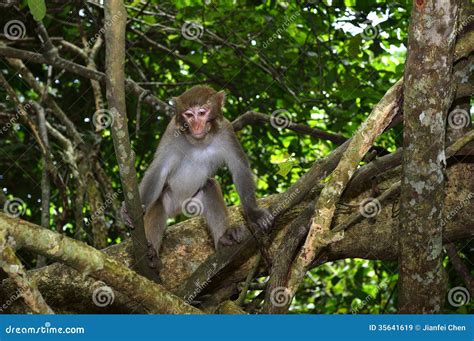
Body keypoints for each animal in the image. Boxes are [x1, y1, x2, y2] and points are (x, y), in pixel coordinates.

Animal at [123, 85, 274, 268]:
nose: (195, 126)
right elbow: (159, 169)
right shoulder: (172, 132)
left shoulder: (226, 131)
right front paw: (130, 211)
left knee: (210, 187)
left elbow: (239, 167)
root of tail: (179, 207)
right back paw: (151, 252)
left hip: (193, 202)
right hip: (170, 199)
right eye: (189, 115)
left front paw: (254, 213)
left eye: (202, 112)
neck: (199, 141)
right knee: (159, 202)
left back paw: (224, 239)